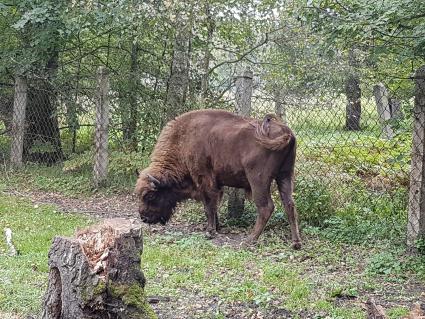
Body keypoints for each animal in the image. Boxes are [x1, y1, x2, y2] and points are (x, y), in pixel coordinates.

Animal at [134, 110, 300, 250]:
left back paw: (249, 240)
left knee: (266, 207)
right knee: (289, 204)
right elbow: (213, 206)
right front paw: (216, 227)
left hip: (258, 181)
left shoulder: (204, 180)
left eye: (150, 196)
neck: (183, 140)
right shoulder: (216, 184)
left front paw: (210, 231)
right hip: (285, 176)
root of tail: (287, 133)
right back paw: (296, 243)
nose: (144, 218)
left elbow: (209, 206)